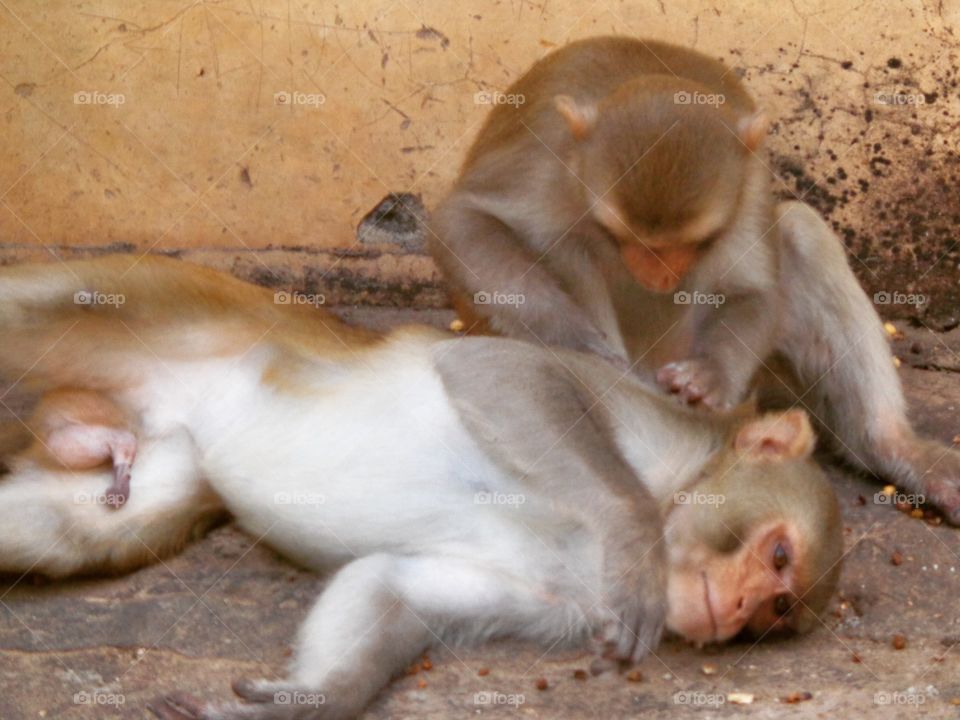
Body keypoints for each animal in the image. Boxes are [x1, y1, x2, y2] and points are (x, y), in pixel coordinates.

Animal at [0, 256, 842, 720]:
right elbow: (497, 371)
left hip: (158, 452)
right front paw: (631, 538)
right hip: (160, 304)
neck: (677, 493)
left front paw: (315, 702)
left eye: (778, 608)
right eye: (776, 557)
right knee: (32, 304)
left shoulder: (565, 605)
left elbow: (395, 585)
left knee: (71, 525)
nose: (741, 605)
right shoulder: (650, 430)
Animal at [428, 36, 960, 524]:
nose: (657, 276)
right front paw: (575, 340)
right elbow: (462, 222)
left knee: (799, 230)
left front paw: (710, 375)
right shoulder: (548, 160)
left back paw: (895, 450)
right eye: (620, 235)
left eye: (696, 241)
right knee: (567, 245)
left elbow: (754, 289)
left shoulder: (747, 183)